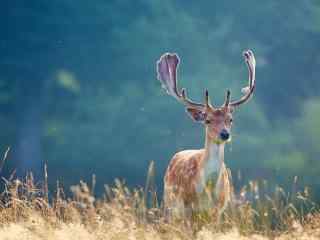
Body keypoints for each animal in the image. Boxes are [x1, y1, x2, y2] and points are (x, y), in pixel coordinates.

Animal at [156, 49, 256, 218]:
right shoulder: (188, 208)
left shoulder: (218, 210)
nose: (224, 134)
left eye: (230, 119)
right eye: (207, 120)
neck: (207, 190)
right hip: (169, 205)